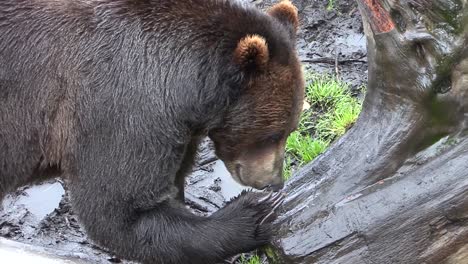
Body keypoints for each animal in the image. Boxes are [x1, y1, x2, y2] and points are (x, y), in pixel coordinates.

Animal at [0, 0, 304, 264]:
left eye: (290, 129)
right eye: (273, 134)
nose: (275, 182)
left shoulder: (177, 131)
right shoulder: (121, 109)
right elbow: (119, 210)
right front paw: (254, 213)